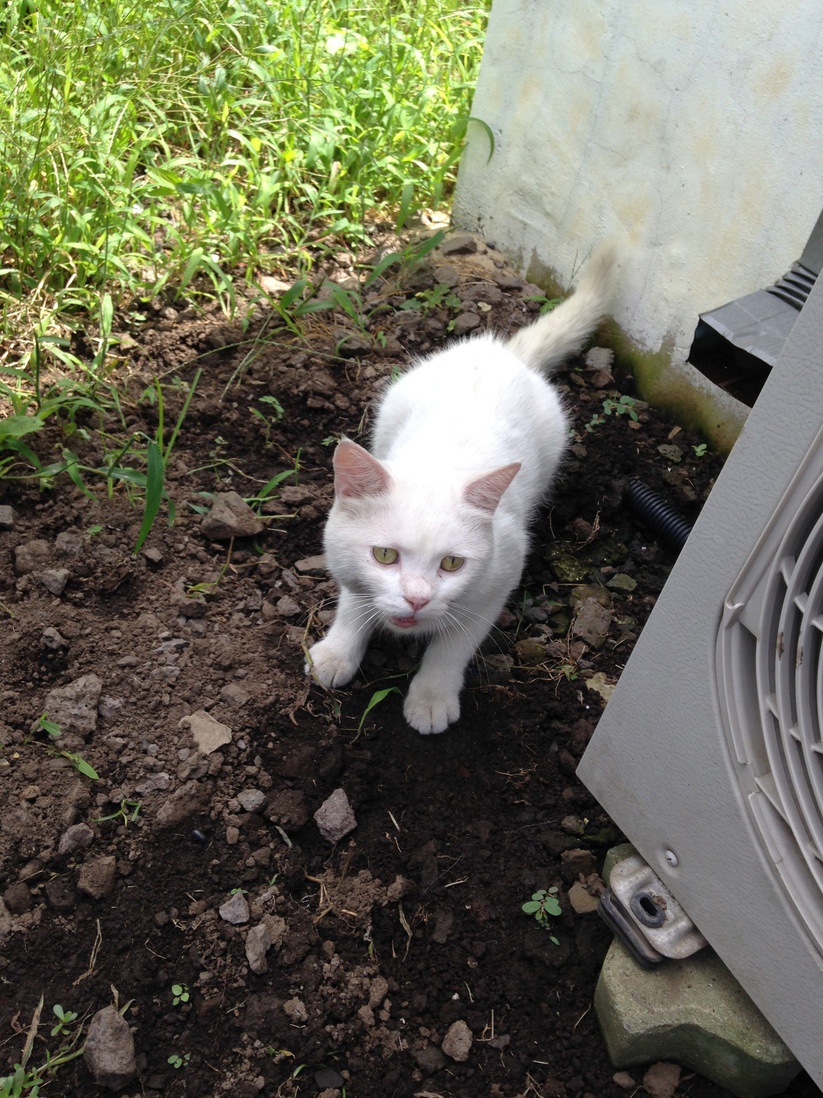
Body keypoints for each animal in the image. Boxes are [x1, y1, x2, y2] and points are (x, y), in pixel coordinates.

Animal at [309, 244, 618, 733]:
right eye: (384, 555)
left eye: (452, 563)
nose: (417, 599)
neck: (438, 463)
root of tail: (502, 351)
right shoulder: (345, 556)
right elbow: (355, 598)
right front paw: (338, 652)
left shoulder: (500, 576)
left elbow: (454, 643)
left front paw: (432, 696)